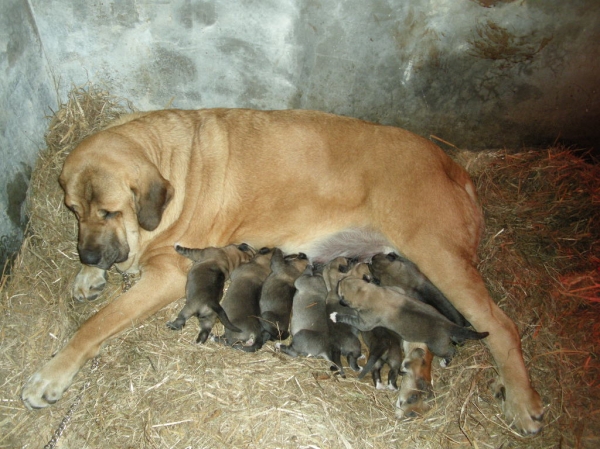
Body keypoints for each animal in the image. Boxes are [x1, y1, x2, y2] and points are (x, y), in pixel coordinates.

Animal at [330, 272, 490, 364]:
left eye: (340, 290)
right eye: (346, 278)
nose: (339, 281)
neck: (369, 293)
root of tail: (448, 325)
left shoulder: (365, 322)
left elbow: (350, 318)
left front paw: (335, 316)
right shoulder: (394, 289)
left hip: (437, 346)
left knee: (450, 351)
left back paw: (446, 361)